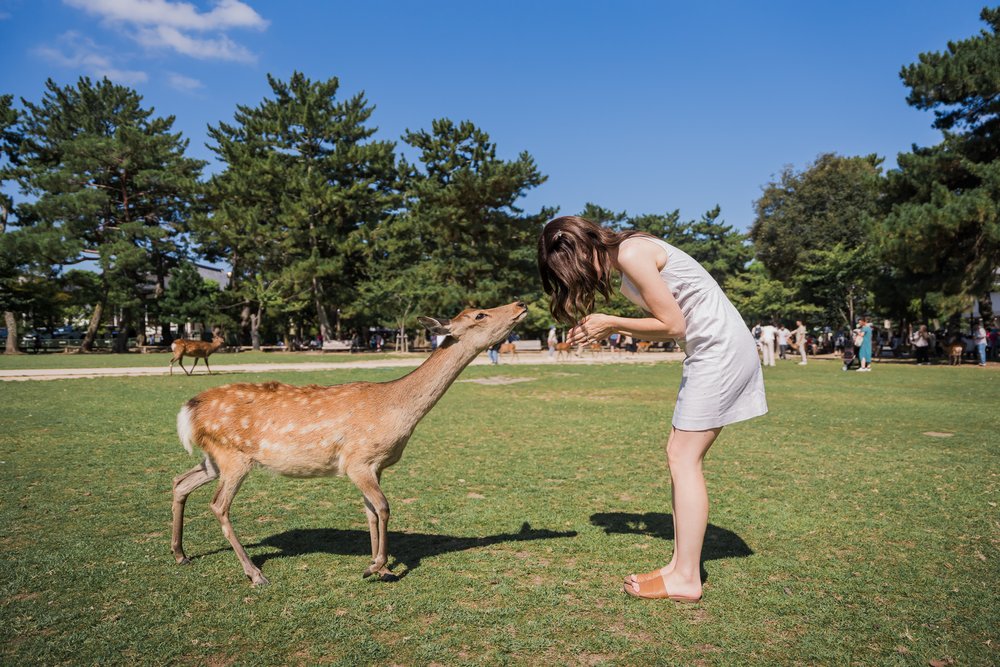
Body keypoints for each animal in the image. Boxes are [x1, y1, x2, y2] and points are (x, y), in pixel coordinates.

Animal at [171, 301, 527, 585]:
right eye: (480, 314)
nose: (520, 303)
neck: (396, 412)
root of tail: (188, 411)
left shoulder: (375, 465)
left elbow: (370, 511)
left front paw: (379, 565)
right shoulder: (358, 460)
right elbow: (383, 507)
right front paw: (376, 566)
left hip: (214, 457)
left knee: (180, 481)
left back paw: (180, 554)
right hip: (234, 457)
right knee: (218, 505)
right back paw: (254, 573)